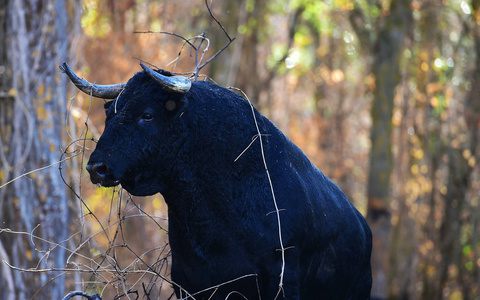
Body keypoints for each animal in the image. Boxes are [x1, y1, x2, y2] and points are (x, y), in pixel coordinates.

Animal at [62, 62, 374, 298]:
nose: (97, 167)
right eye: (109, 113)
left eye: (147, 114)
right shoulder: (189, 282)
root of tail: (363, 226)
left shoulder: (282, 280)